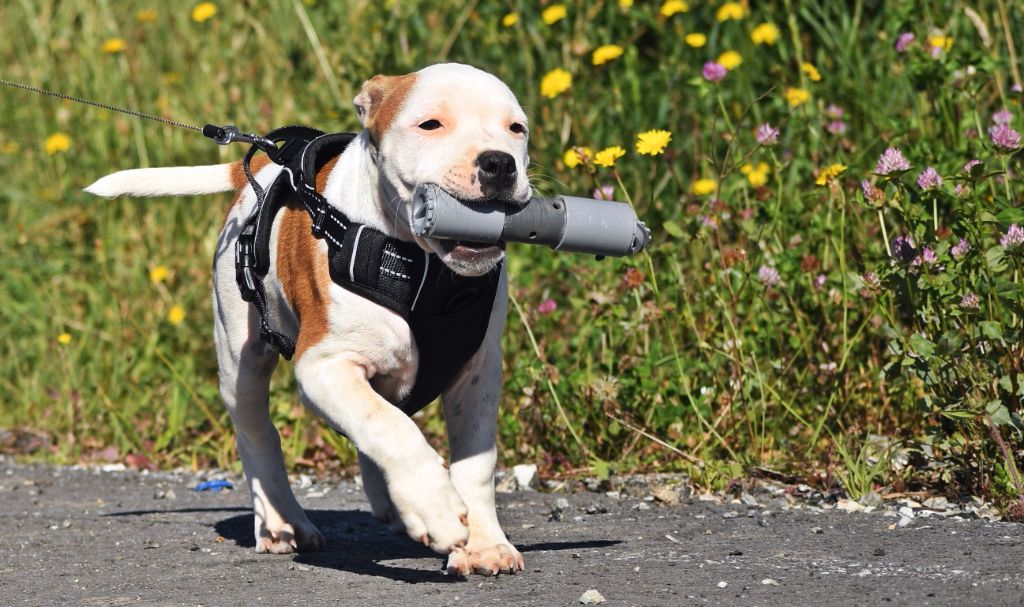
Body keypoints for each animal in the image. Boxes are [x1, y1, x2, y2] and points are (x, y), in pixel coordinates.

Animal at [84, 63, 532, 573]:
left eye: (516, 129)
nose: (499, 163)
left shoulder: (477, 372)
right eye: (430, 124)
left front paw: (485, 543)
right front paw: (435, 507)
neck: (420, 267)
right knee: (260, 434)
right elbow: (390, 428)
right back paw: (283, 521)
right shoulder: (323, 366)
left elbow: (474, 461)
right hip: (240, 357)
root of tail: (264, 166)